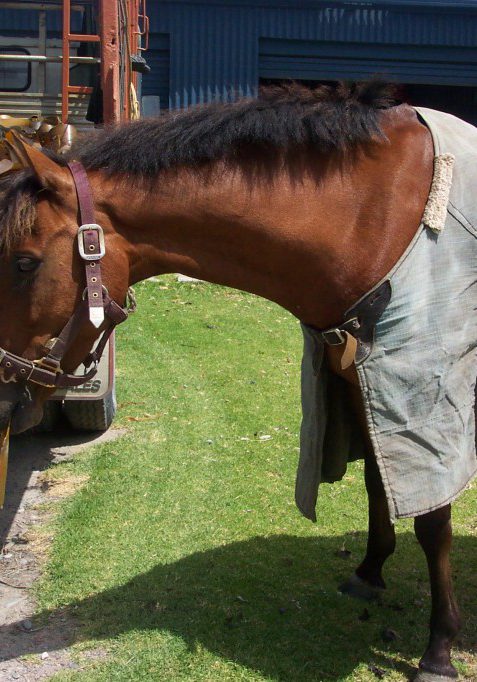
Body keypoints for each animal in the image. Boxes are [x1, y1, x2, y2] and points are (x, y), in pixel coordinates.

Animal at [0, 82, 472, 676]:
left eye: (23, 263)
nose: (3, 397)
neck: (375, 216)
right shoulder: (360, 381)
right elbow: (378, 480)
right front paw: (370, 571)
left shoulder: (424, 393)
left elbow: (432, 519)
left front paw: (439, 647)